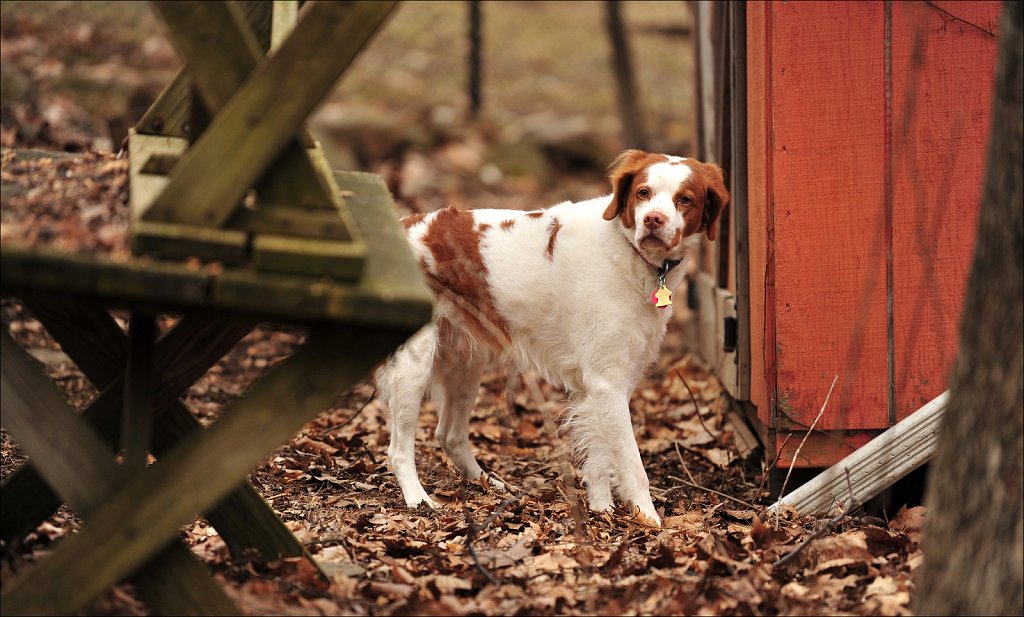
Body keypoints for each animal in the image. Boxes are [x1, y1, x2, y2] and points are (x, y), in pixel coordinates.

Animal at [376, 149, 729, 527]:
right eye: (643, 193)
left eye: (685, 199)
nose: (652, 220)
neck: (627, 251)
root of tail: (400, 225)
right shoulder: (607, 383)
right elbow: (632, 464)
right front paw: (648, 518)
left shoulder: (604, 385)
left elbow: (600, 456)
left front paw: (601, 509)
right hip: (414, 365)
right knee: (399, 449)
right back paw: (419, 499)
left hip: (465, 363)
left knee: (449, 434)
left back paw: (487, 483)